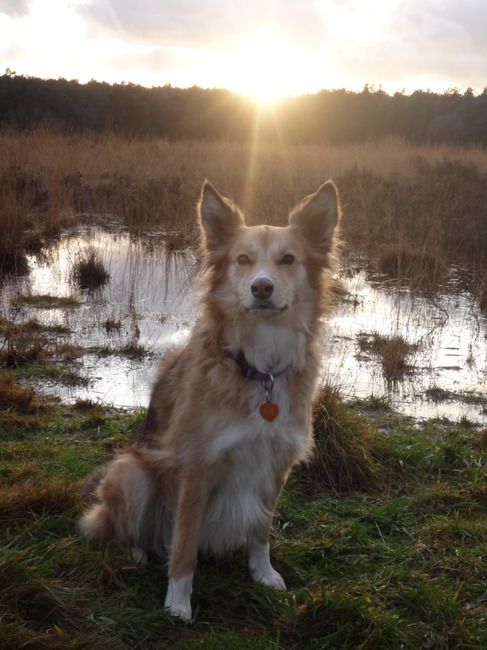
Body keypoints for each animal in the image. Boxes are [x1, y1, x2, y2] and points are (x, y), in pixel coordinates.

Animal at [79, 179, 341, 620]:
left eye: (288, 259)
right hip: (130, 472)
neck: (260, 368)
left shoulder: (276, 465)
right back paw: (137, 552)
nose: (261, 287)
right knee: (121, 528)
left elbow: (261, 529)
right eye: (242, 259)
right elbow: (184, 545)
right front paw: (177, 604)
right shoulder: (197, 468)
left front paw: (263, 573)